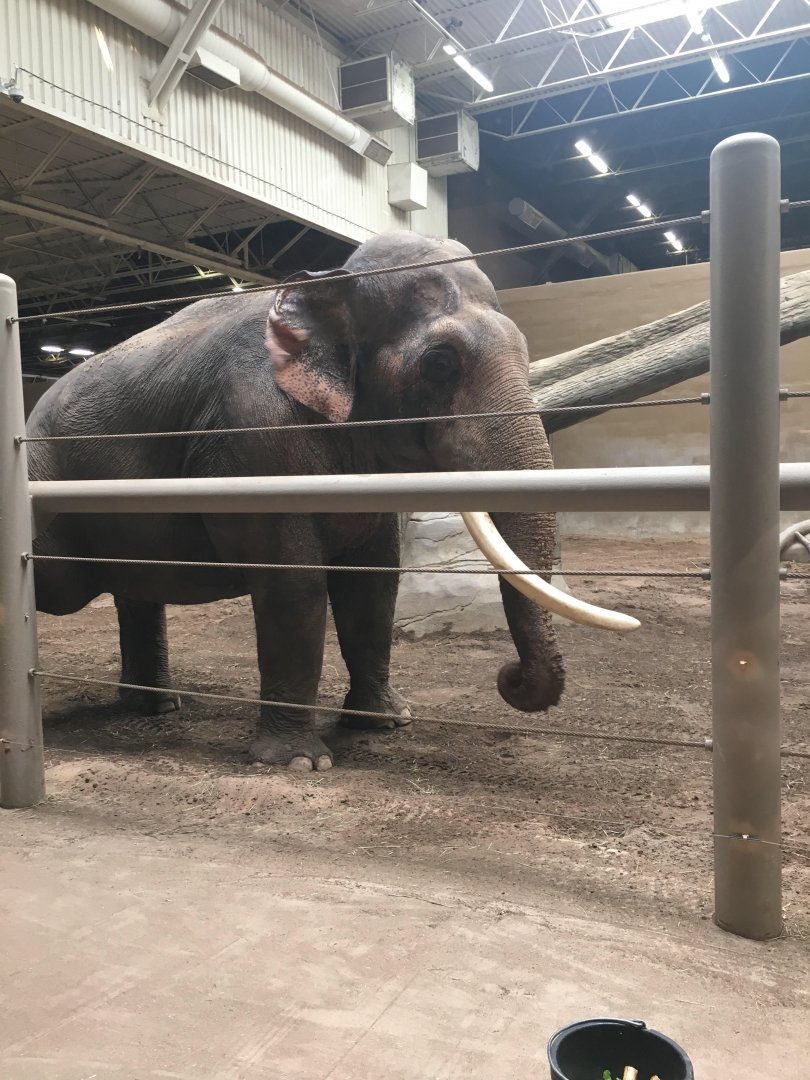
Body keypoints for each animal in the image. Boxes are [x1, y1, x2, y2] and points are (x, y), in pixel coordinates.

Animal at [27, 232, 634, 771]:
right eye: (440, 363)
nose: (509, 678)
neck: (329, 283)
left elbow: (374, 582)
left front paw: (387, 723)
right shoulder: (254, 438)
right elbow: (294, 584)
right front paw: (300, 763)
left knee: (136, 591)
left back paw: (156, 707)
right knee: (55, 585)